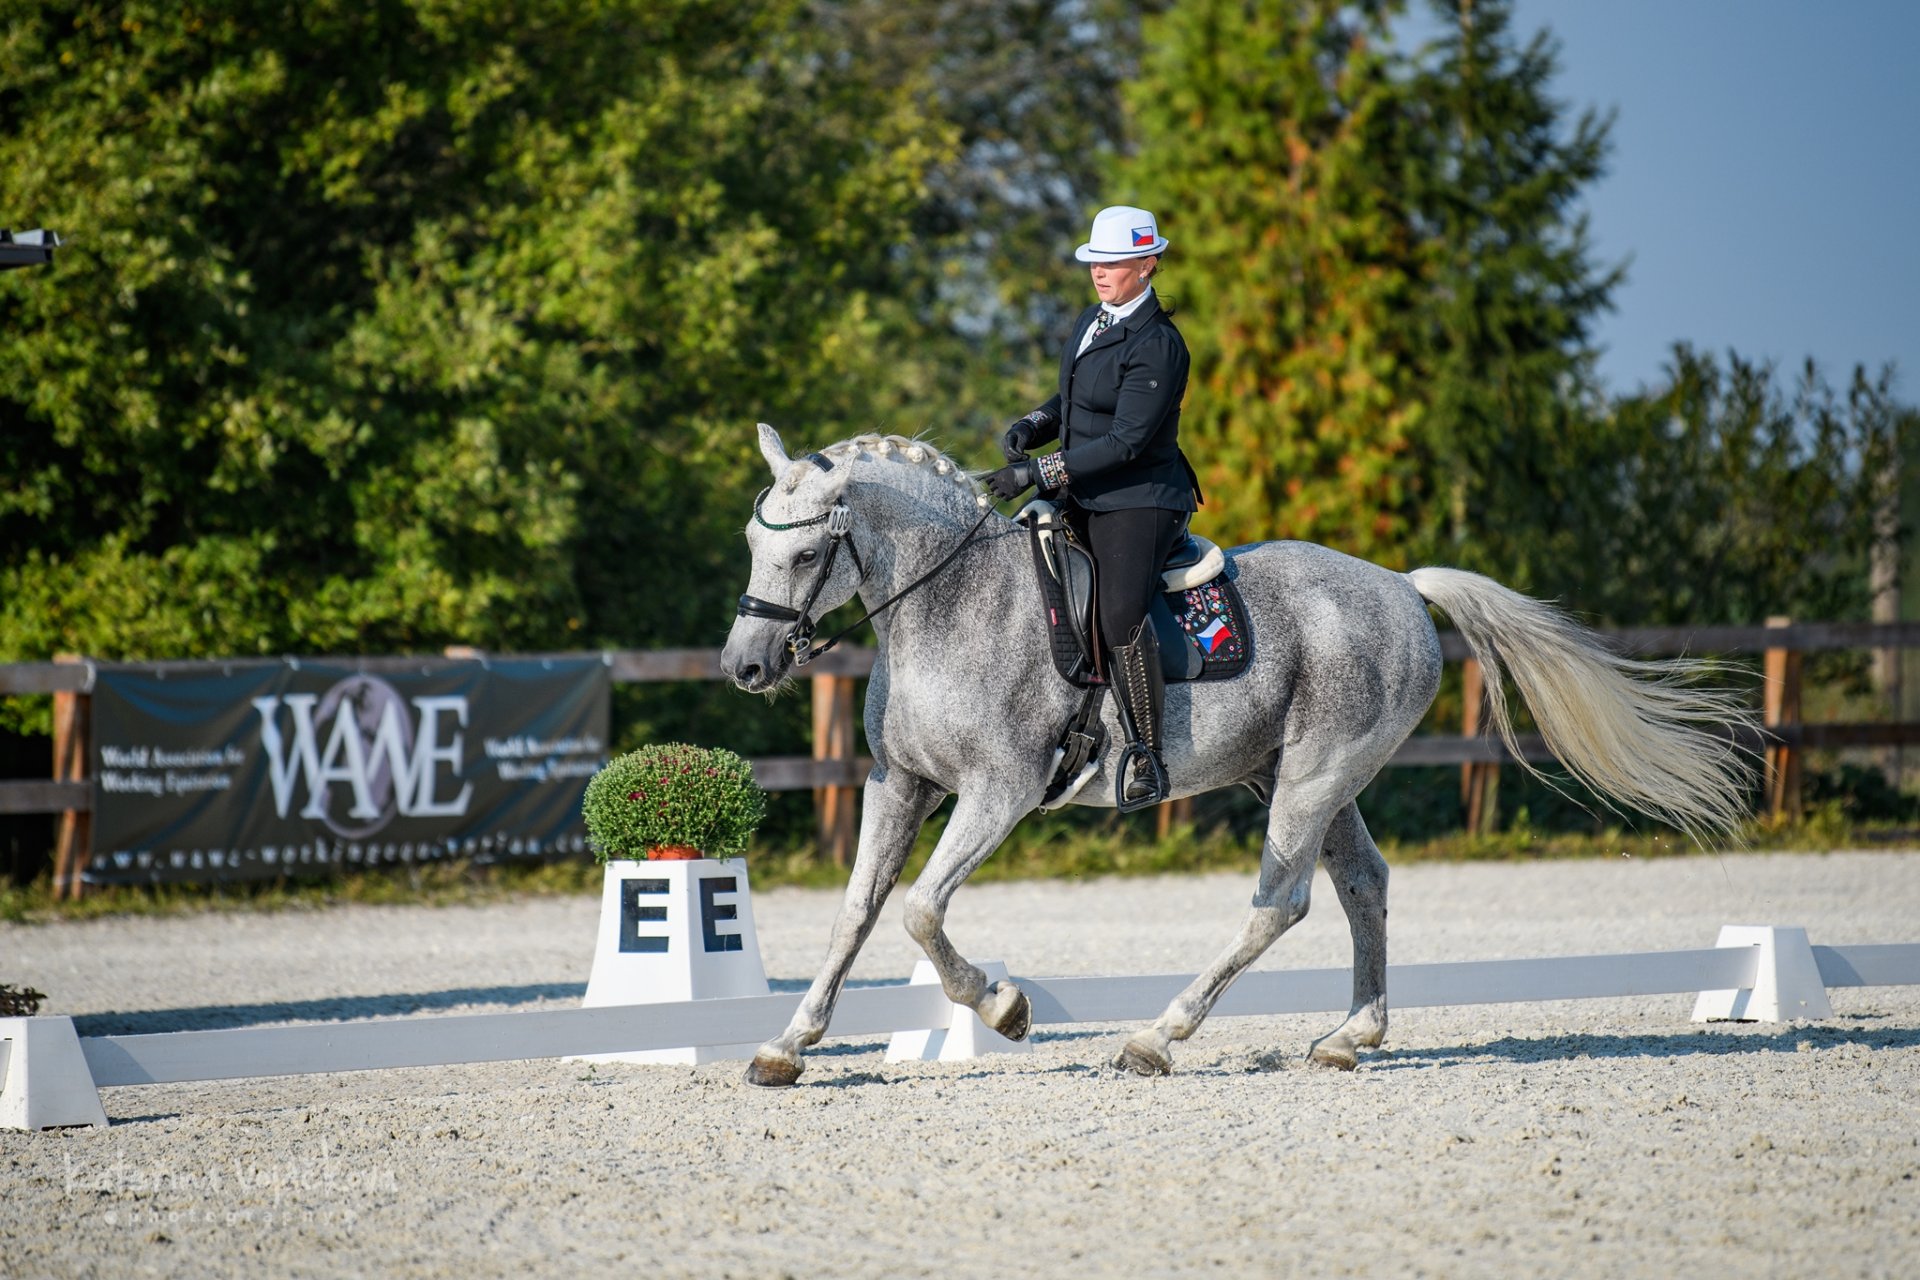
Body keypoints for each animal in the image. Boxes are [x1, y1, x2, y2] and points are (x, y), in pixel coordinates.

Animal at [721, 426, 1758, 1090]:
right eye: (751, 540)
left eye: (809, 551)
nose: (745, 666)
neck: (948, 607)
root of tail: (1400, 586)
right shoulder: (901, 783)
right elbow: (858, 913)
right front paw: (786, 1047)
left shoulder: (999, 792)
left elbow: (922, 913)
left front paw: (1005, 1007)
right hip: (1304, 775)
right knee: (1363, 883)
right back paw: (1350, 1036)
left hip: (1313, 776)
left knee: (1280, 903)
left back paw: (1158, 1039)